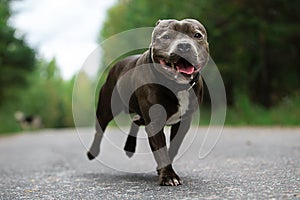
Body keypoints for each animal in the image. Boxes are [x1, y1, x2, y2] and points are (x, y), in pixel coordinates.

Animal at [86, 18, 209, 186]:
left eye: (197, 35)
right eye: (166, 36)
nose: (184, 46)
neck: (177, 85)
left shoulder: (183, 123)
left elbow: (173, 147)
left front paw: (163, 170)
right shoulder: (154, 123)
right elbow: (161, 149)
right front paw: (168, 176)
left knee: (136, 121)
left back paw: (129, 146)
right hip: (106, 108)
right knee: (100, 129)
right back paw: (92, 152)